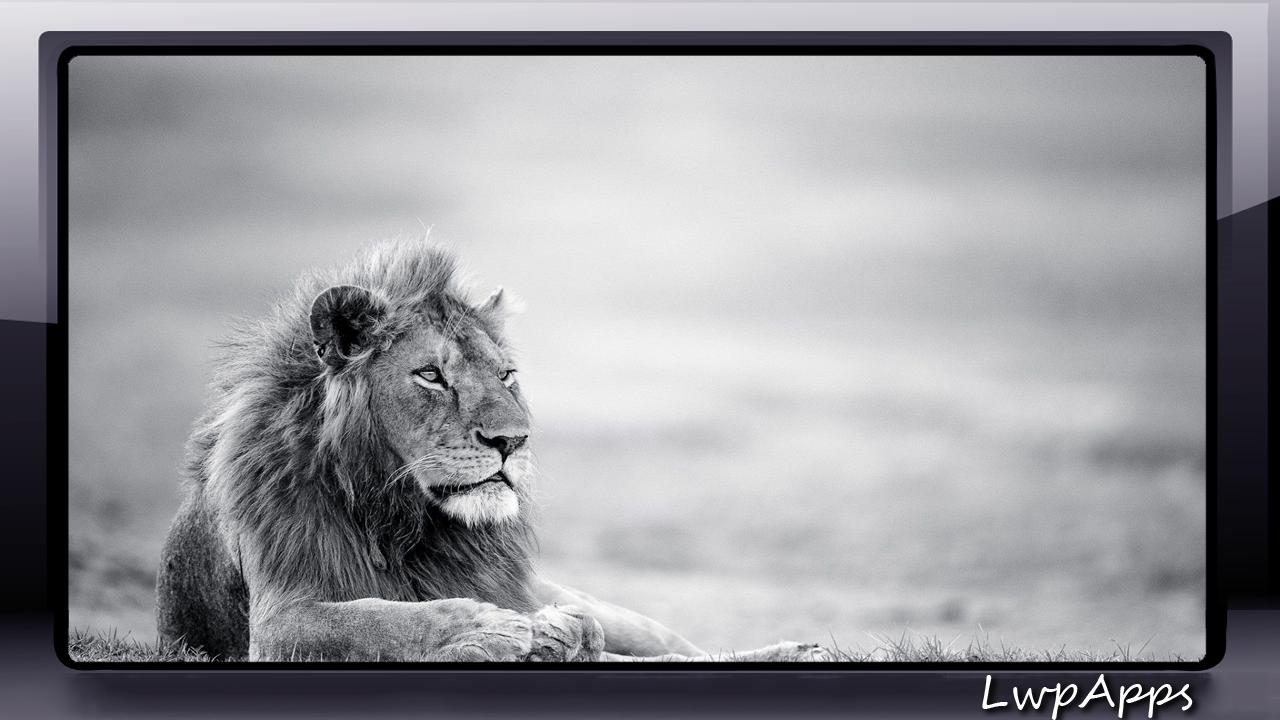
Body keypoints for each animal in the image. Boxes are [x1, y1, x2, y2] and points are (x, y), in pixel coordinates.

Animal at [155, 239, 829, 662]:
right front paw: (485, 626)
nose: (512, 441)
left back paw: (801, 648)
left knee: (669, 648)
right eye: (431, 376)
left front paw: (542, 634)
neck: (406, 521)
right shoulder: (279, 622)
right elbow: (374, 618)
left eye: (506, 376)